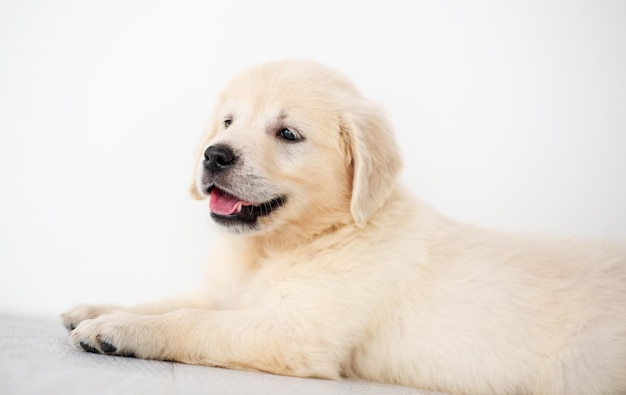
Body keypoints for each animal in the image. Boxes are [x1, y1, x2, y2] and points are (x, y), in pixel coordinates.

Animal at [62, 60, 624, 394]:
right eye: (228, 122)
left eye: (288, 134)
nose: (214, 155)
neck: (281, 247)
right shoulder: (230, 295)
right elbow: (172, 301)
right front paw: (96, 309)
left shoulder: (296, 333)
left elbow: (190, 321)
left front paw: (117, 330)